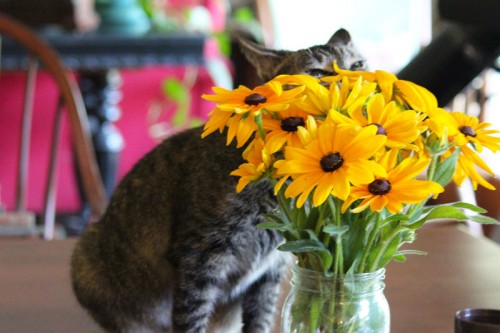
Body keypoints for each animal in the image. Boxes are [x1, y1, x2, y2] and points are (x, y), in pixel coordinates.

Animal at [71, 28, 368, 332]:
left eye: (357, 64)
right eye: (318, 73)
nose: (354, 78)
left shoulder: (270, 271)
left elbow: (260, 320)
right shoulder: (200, 256)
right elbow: (192, 317)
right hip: (86, 259)